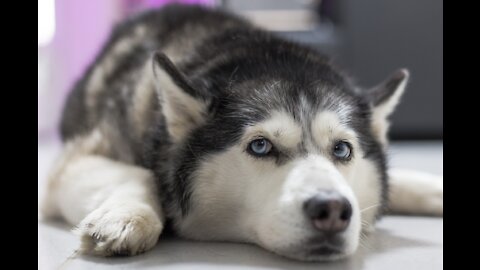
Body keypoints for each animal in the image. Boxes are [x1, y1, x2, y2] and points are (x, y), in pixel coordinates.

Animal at [41, 4, 442, 262]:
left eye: (342, 150)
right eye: (260, 146)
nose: (332, 209)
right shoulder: (72, 163)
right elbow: (142, 175)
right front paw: (126, 217)